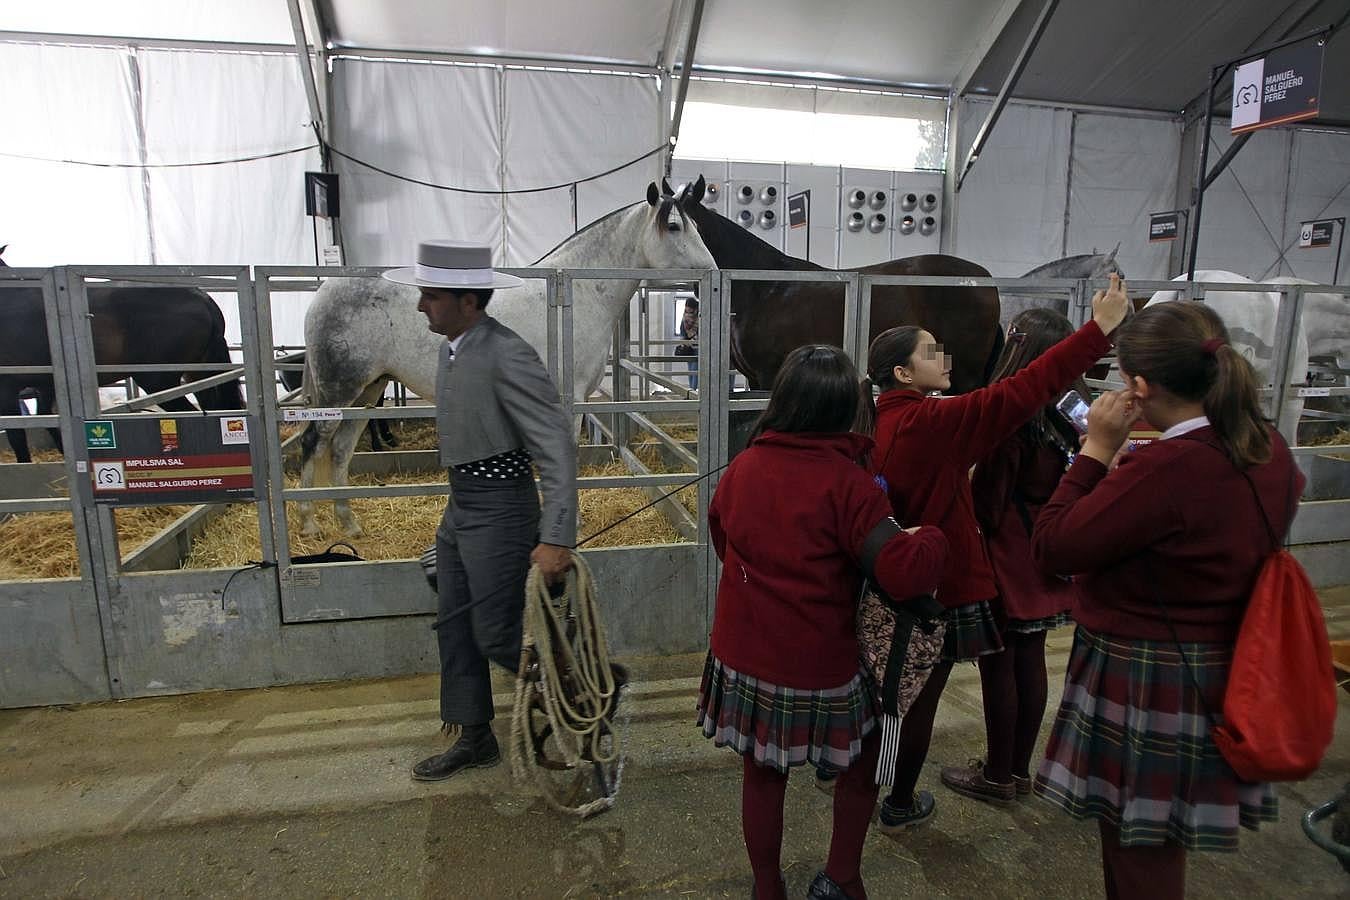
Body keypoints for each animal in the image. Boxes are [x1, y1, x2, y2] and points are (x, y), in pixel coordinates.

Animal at [1, 246, 243, 461]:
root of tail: (202, 297)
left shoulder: (10, 389)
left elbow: (17, 435)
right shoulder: (46, 385)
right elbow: (50, 424)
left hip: (159, 381)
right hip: (199, 375)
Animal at [295, 182, 718, 534]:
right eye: (675, 227)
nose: (713, 274)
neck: (575, 293)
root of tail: (323, 293)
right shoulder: (567, 398)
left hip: (369, 391)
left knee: (340, 450)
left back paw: (349, 524)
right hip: (340, 392)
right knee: (314, 443)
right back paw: (309, 525)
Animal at [675, 175, 1004, 394]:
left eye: (681, 225)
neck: (762, 287)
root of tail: (984, 279)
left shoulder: (768, 375)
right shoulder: (754, 378)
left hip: (963, 375)